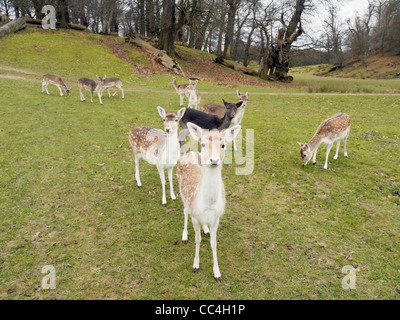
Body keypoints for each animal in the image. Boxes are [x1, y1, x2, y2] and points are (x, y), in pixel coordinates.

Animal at [177, 121, 241, 282]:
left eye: (223, 145)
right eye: (203, 144)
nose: (214, 160)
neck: (208, 204)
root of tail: (190, 153)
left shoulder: (216, 218)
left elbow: (213, 243)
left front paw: (217, 273)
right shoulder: (195, 215)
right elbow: (197, 240)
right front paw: (195, 266)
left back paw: (205, 229)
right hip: (183, 194)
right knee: (184, 211)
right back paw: (185, 236)